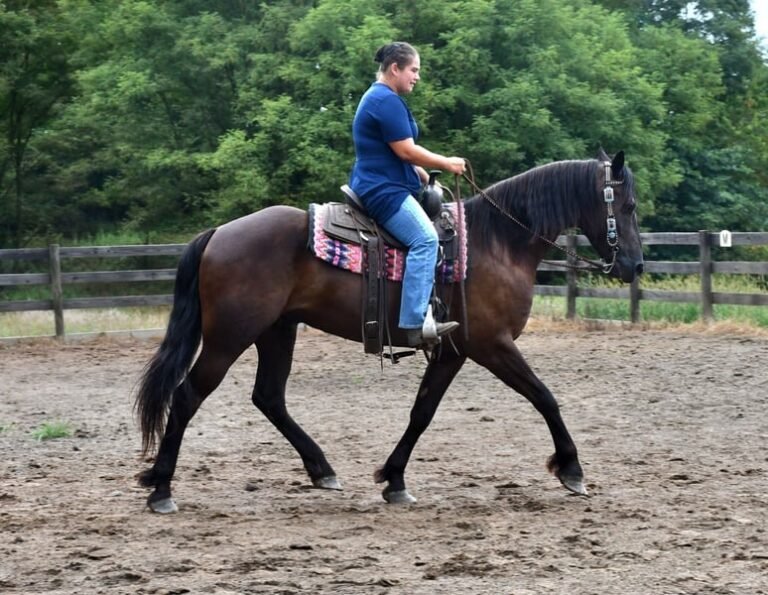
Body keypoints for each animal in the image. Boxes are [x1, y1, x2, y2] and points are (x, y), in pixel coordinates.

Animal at [135, 149, 643, 513]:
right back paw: (161, 488)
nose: (636, 266)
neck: (497, 241)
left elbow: (422, 412)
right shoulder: (491, 345)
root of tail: (219, 232)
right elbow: (544, 397)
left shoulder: (453, 350)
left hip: (277, 331)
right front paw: (571, 468)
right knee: (187, 396)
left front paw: (394, 479)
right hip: (229, 337)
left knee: (269, 397)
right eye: (629, 204)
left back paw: (321, 469)